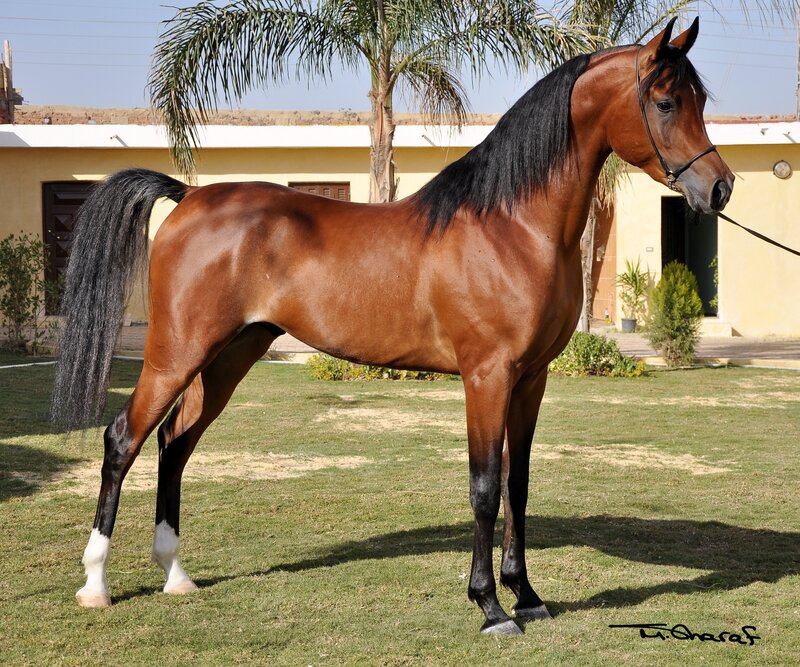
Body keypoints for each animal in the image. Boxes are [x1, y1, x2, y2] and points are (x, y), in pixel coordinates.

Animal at [52, 17, 733, 635]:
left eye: (700, 101)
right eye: (666, 102)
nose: (720, 188)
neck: (512, 226)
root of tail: (189, 197)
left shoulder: (531, 379)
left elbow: (518, 483)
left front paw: (528, 595)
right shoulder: (486, 377)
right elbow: (485, 487)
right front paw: (490, 608)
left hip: (229, 355)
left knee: (175, 442)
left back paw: (176, 576)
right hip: (177, 352)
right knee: (123, 440)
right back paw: (95, 585)